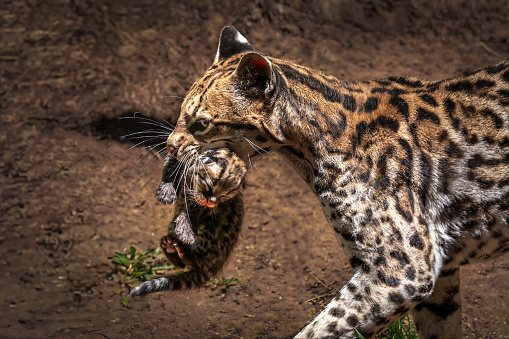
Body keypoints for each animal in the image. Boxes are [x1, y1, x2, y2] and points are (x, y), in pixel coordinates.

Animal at [129, 149, 244, 298]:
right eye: (210, 185)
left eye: (224, 195)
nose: (211, 202)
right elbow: (171, 165)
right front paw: (166, 189)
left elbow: (193, 206)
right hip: (173, 227)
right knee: (181, 263)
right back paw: (170, 247)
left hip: (213, 234)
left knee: (201, 263)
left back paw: (185, 253)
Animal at [164, 27, 508, 339]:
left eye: (201, 123)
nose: (169, 146)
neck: (307, 150)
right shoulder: (439, 272)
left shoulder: (402, 270)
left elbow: (321, 330)